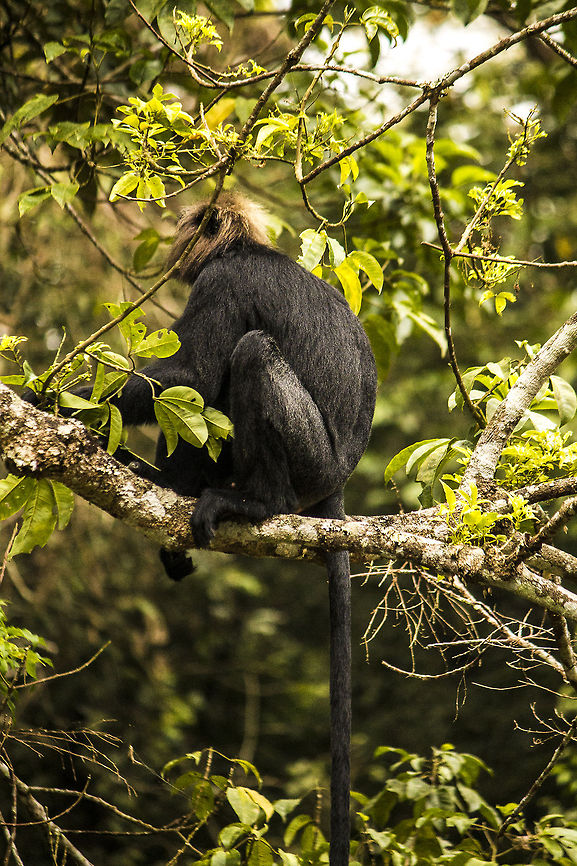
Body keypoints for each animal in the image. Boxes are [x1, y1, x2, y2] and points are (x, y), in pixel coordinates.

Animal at [26, 193, 377, 865]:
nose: (174, 251)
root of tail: (338, 480)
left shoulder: (220, 281)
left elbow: (193, 372)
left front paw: (58, 397)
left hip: (308, 459)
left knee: (249, 355)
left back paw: (253, 502)